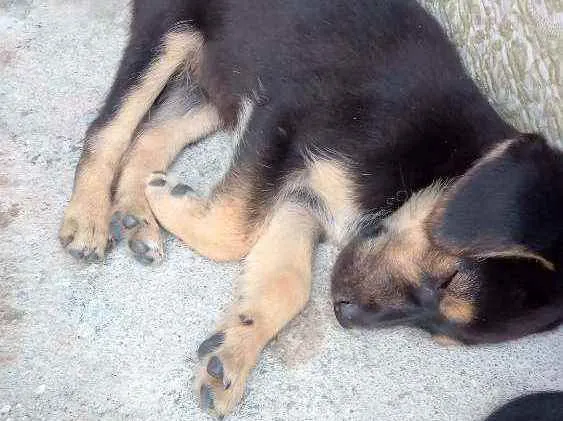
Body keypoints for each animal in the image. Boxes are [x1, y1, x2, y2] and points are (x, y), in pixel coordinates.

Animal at [59, 0, 560, 416]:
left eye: (441, 332)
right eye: (448, 279)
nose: (344, 315)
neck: (438, 160)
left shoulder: (304, 203)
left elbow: (285, 283)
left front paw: (232, 351)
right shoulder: (280, 116)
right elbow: (233, 229)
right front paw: (168, 198)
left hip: (216, 83)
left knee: (151, 136)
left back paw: (135, 215)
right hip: (172, 32)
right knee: (110, 126)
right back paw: (89, 217)